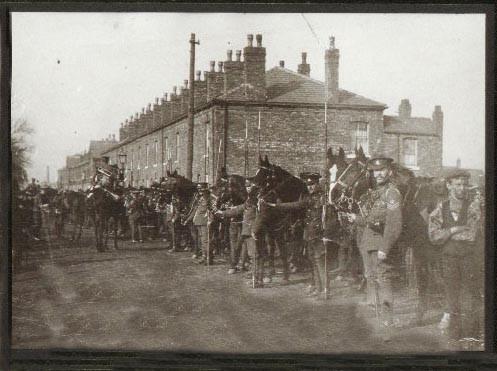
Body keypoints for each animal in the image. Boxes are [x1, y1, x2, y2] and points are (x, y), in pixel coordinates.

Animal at [250, 155, 308, 284]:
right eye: (256, 173)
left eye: (265, 175)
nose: (252, 194)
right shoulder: (271, 228)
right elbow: (271, 247)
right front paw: (270, 273)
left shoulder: (281, 229)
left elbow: (283, 249)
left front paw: (286, 275)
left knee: (297, 241)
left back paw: (295, 263)